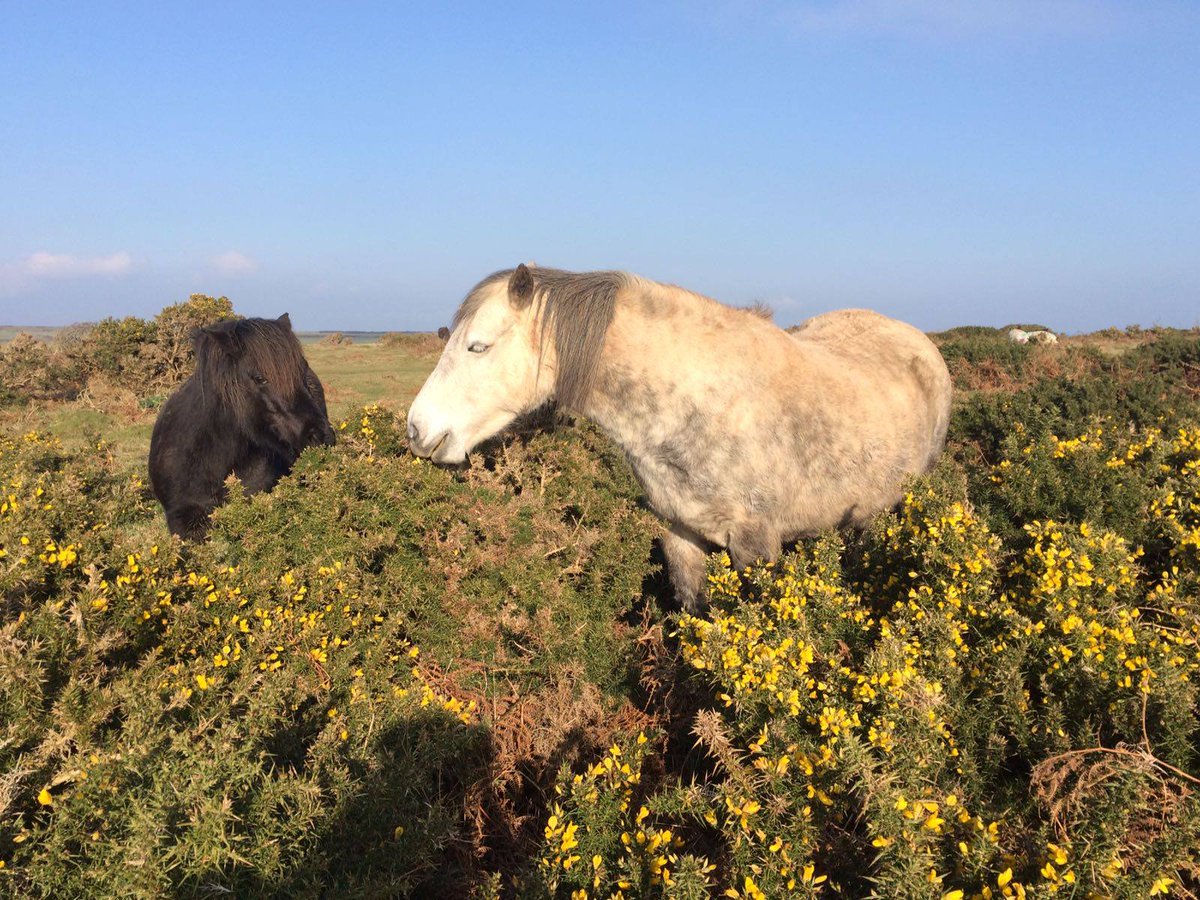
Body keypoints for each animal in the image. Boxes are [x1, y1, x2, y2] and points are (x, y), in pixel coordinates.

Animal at [406, 265, 952, 611]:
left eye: (478, 346)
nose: (417, 430)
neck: (700, 400)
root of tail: (918, 342)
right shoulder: (681, 535)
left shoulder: (756, 544)